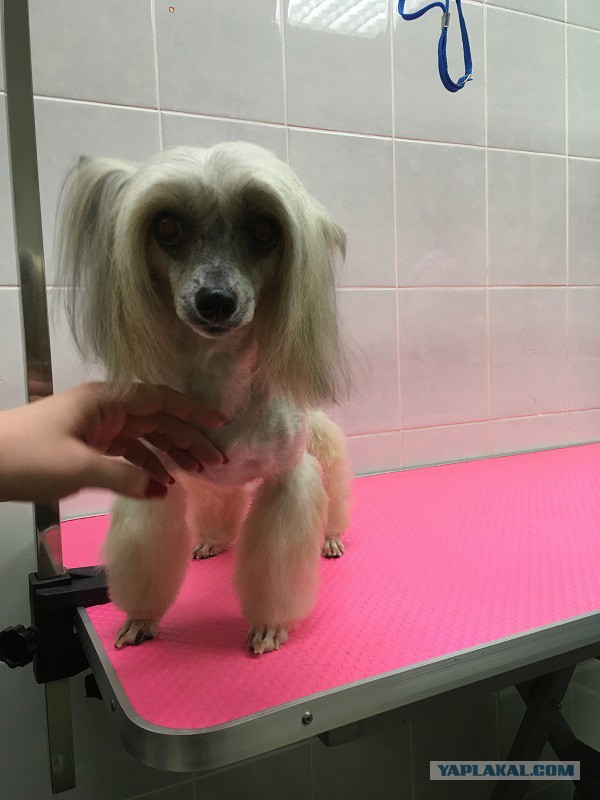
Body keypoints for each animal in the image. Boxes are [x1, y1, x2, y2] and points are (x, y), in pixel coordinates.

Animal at [57, 142, 352, 655]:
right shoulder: (154, 476)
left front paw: (270, 624)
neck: (217, 375)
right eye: (166, 226)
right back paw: (213, 538)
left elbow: (277, 565)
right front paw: (141, 617)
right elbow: (146, 552)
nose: (215, 300)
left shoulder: (288, 478)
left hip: (318, 443)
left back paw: (331, 537)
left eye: (264, 230)